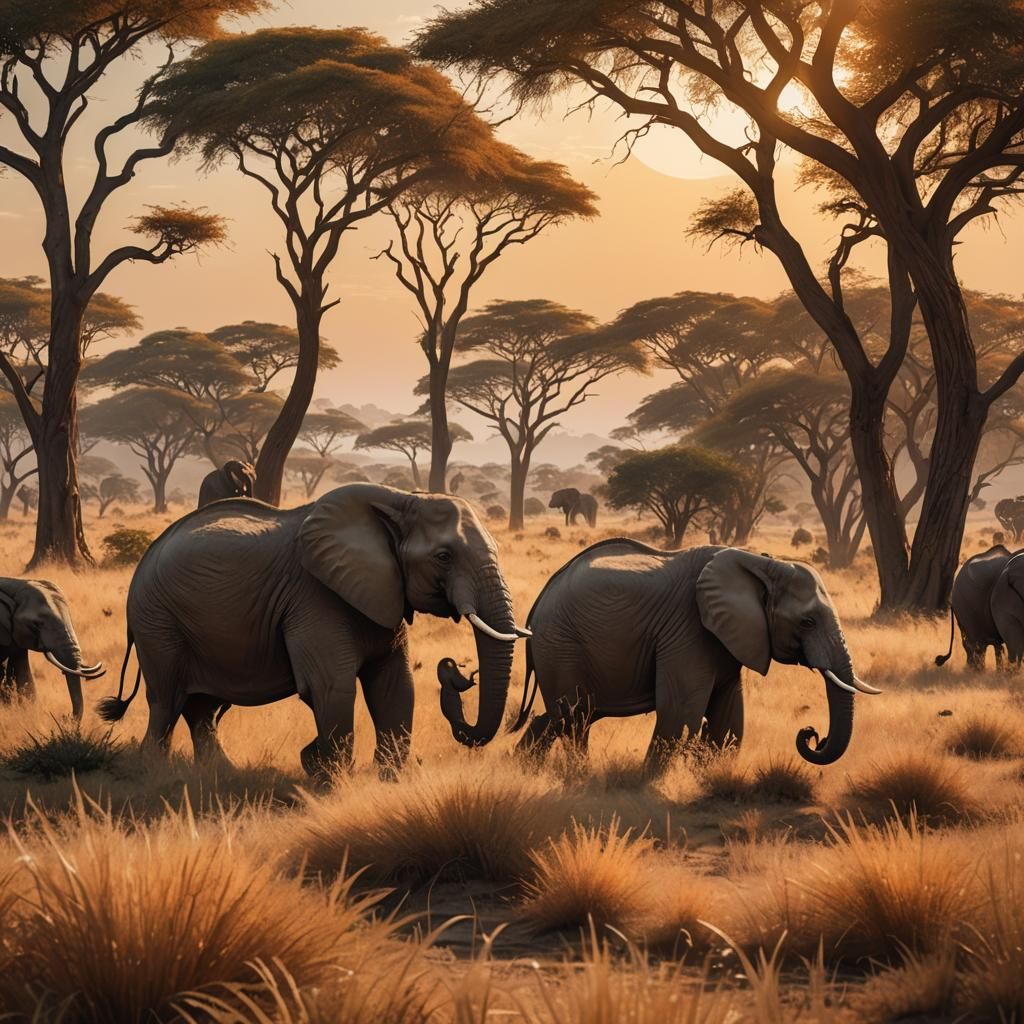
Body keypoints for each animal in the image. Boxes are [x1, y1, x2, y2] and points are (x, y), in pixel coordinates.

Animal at [96, 484, 529, 777]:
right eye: (443, 556)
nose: (455, 671)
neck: (401, 498)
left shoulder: (381, 591)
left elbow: (395, 685)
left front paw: (384, 779)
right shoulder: (314, 597)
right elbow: (330, 686)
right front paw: (328, 778)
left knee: (202, 708)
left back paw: (221, 773)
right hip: (157, 623)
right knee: (166, 702)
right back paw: (154, 772)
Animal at [438, 541, 878, 775]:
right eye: (807, 621)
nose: (811, 734)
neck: (760, 561)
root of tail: (535, 608)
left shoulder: (725, 639)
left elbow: (728, 719)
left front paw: (711, 777)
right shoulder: (687, 632)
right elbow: (680, 713)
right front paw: (646, 783)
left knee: (561, 717)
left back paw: (530, 770)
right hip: (561, 644)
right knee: (572, 716)